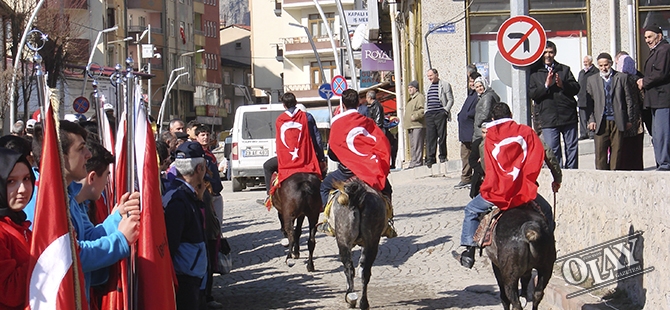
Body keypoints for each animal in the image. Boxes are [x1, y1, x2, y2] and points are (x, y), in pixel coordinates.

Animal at [332, 178, 388, 308]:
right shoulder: (365, 244)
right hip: (372, 242)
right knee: (365, 272)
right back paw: (364, 303)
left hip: (343, 241)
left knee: (348, 268)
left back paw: (350, 298)